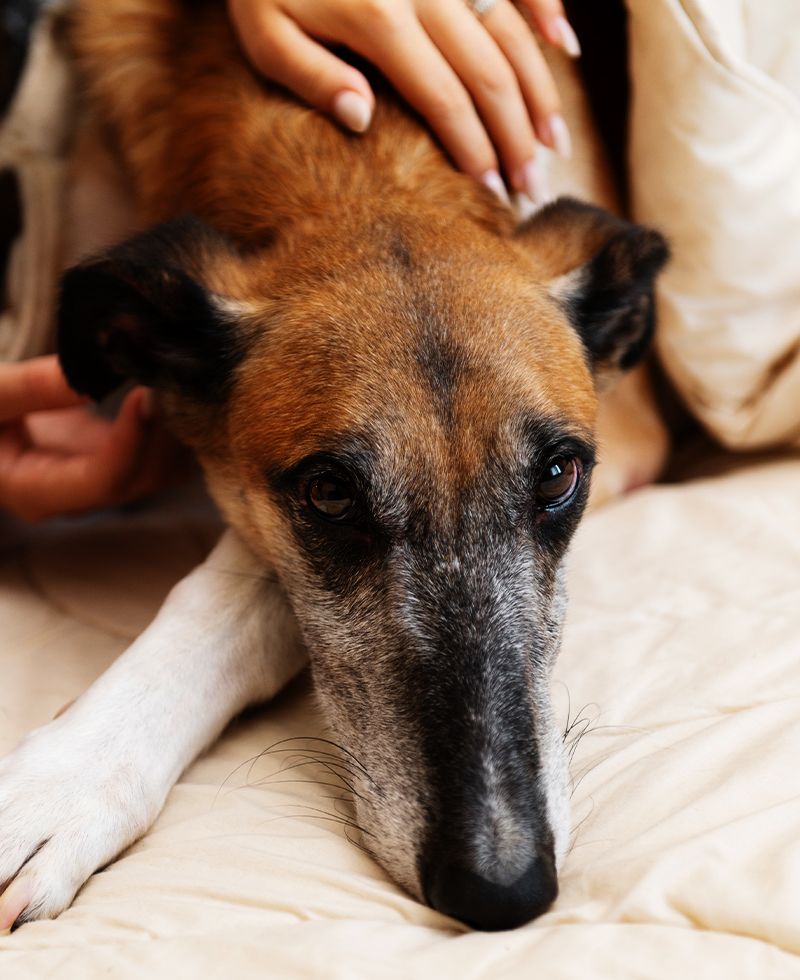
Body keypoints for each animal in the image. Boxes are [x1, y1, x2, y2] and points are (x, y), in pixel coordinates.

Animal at [0, 0, 668, 936]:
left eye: (557, 476)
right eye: (329, 495)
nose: (502, 890)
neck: (366, 159)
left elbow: (245, 592)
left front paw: (69, 780)